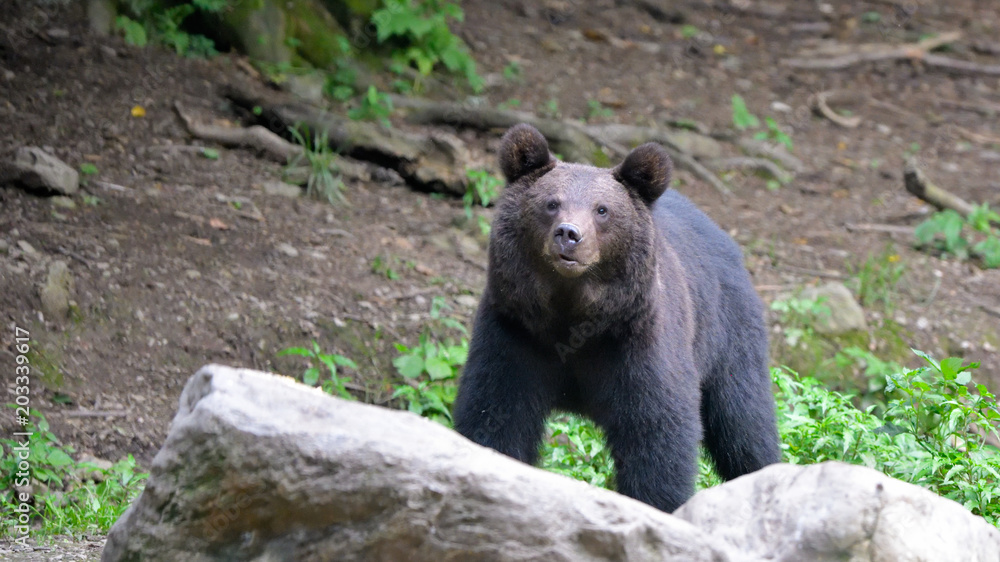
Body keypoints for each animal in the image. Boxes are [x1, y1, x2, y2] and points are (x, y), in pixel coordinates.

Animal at [454, 123, 780, 512]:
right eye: (551, 203)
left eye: (602, 209)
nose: (569, 234)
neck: (571, 315)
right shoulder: (514, 330)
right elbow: (494, 414)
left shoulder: (637, 341)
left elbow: (657, 435)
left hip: (727, 330)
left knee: (744, 421)